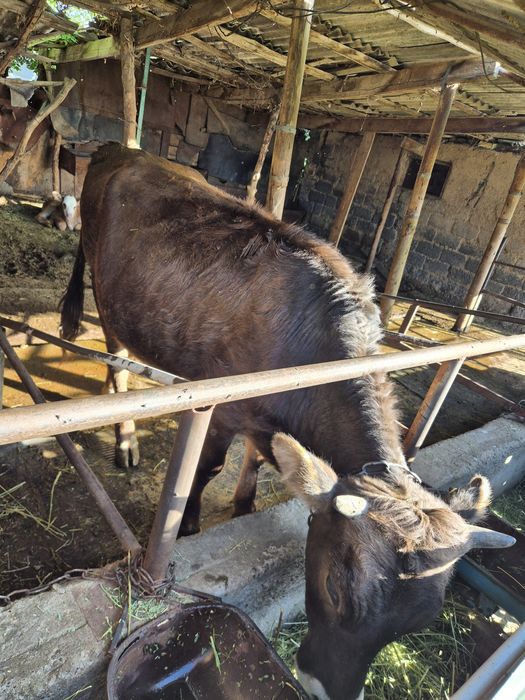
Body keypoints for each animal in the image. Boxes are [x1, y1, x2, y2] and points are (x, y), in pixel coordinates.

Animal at [60, 144, 514, 700]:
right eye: (334, 589)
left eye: (419, 623)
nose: (322, 688)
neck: (311, 357)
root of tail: (121, 148)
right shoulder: (222, 408)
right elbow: (207, 469)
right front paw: (188, 524)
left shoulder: (267, 421)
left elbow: (259, 458)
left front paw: (245, 503)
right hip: (109, 294)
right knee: (116, 354)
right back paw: (125, 436)